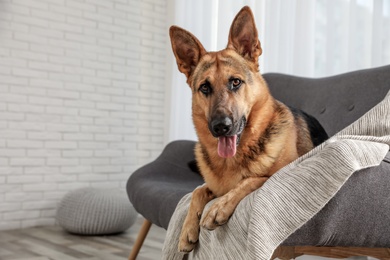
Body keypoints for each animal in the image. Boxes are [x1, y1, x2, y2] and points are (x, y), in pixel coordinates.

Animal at [169, 5, 328, 252]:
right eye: (204, 87)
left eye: (235, 82)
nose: (221, 127)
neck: (232, 160)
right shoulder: (212, 186)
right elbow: (198, 190)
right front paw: (187, 229)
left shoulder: (278, 175)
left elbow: (254, 178)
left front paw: (219, 207)